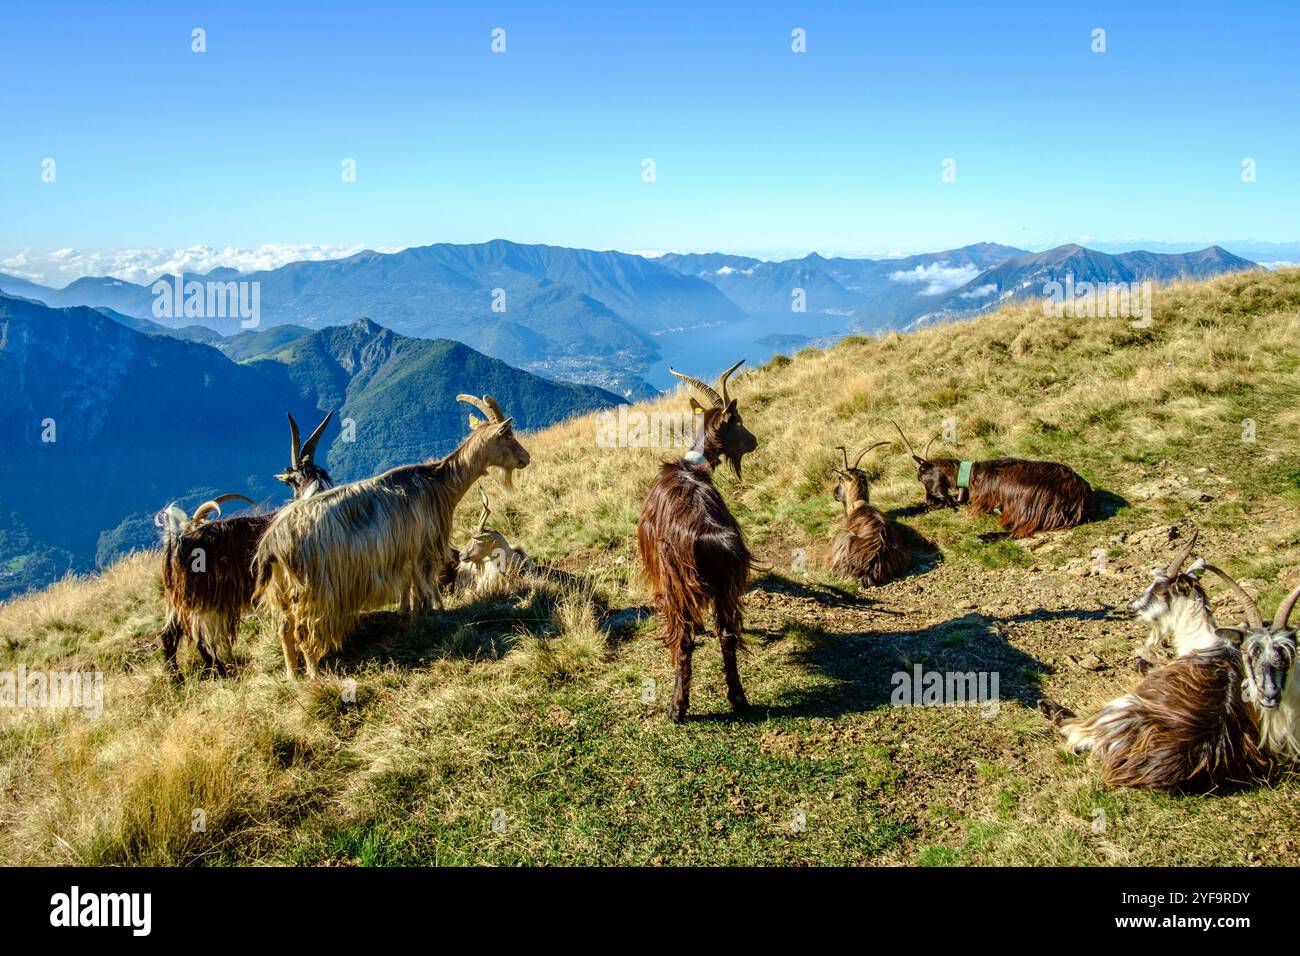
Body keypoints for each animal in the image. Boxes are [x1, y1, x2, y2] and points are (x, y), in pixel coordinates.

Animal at [253, 395, 527, 681]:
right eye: (507, 436)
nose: (526, 458)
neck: (439, 482)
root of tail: (271, 545)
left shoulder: (403, 553)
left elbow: (408, 586)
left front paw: (407, 615)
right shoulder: (423, 549)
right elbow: (422, 588)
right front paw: (424, 619)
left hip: (280, 591)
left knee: (284, 630)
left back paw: (292, 676)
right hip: (311, 589)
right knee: (303, 630)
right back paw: (315, 674)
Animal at [634, 361, 759, 723]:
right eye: (739, 422)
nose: (755, 441)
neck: (693, 465)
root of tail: (709, 537)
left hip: (677, 582)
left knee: (685, 639)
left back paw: (677, 707)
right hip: (726, 584)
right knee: (728, 634)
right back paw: (738, 698)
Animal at [889, 421, 1092, 538]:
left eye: (922, 477)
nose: (929, 500)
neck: (972, 475)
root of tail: (1079, 500)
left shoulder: (978, 503)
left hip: (1028, 507)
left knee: (1017, 532)